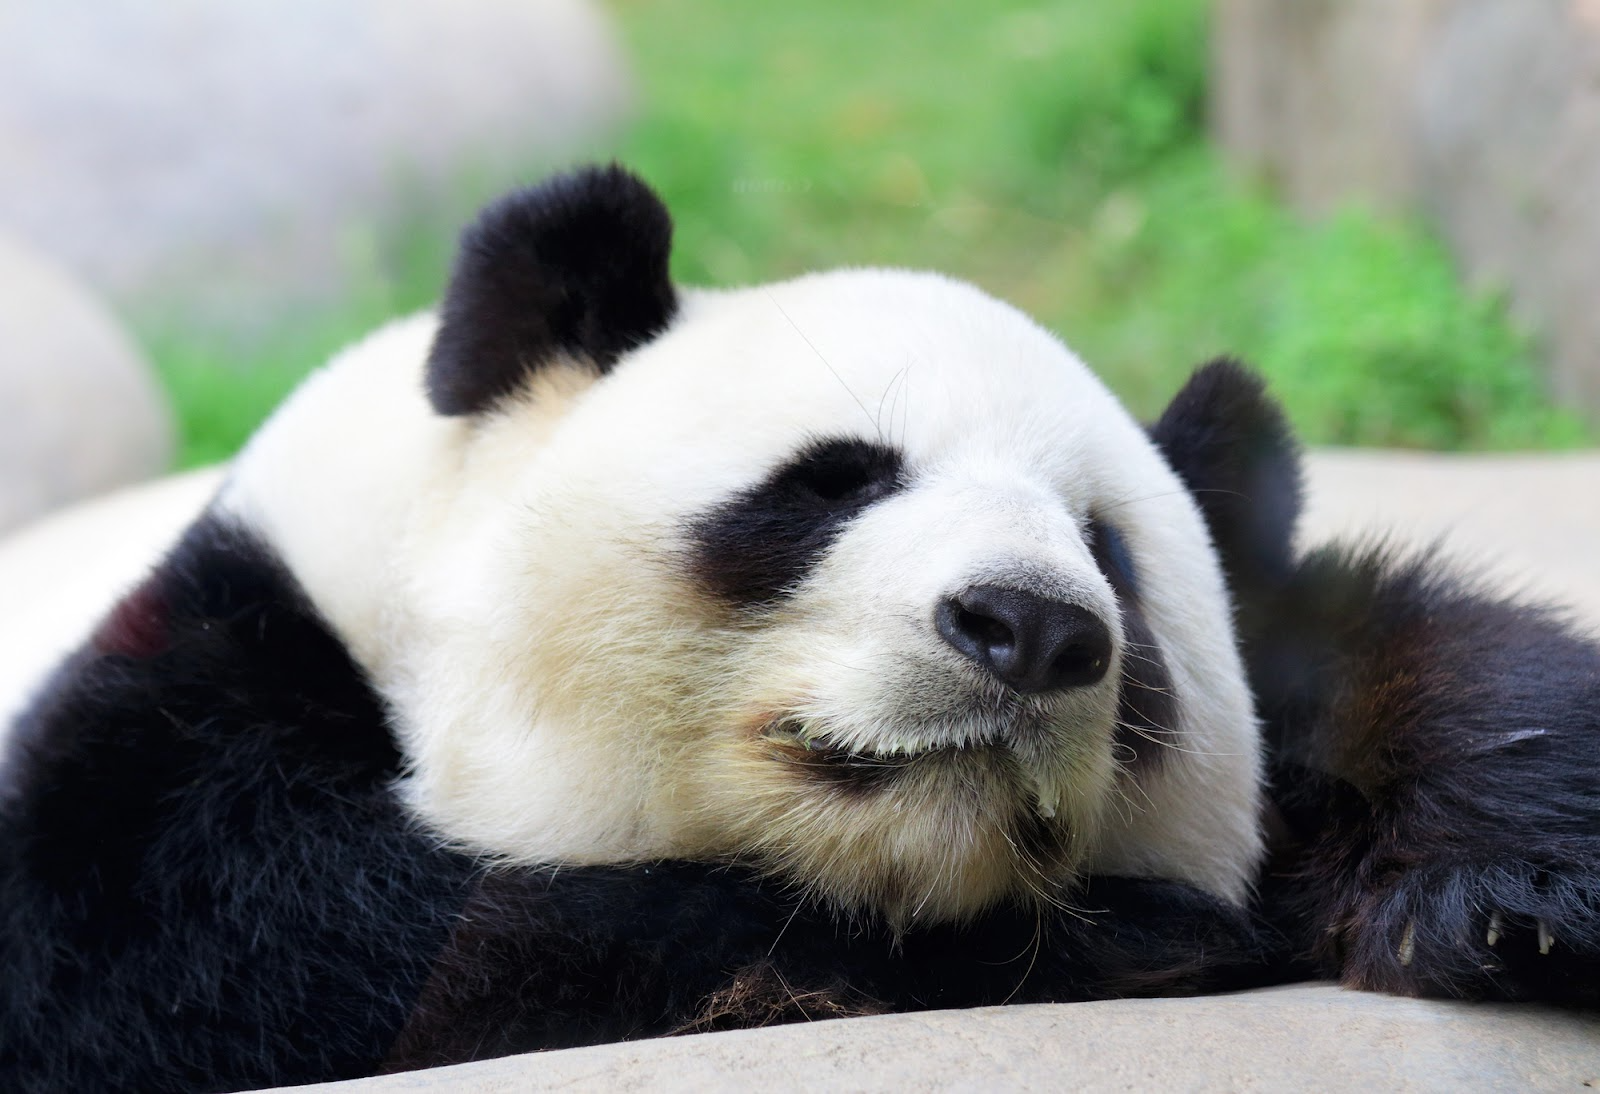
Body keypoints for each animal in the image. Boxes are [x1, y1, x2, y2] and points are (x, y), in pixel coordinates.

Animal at [2, 165, 1597, 1092]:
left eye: (1109, 556)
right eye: (836, 479)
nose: (1029, 627)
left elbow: (1405, 662)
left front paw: (1507, 886)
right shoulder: (204, 703)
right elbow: (234, 954)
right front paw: (1150, 934)